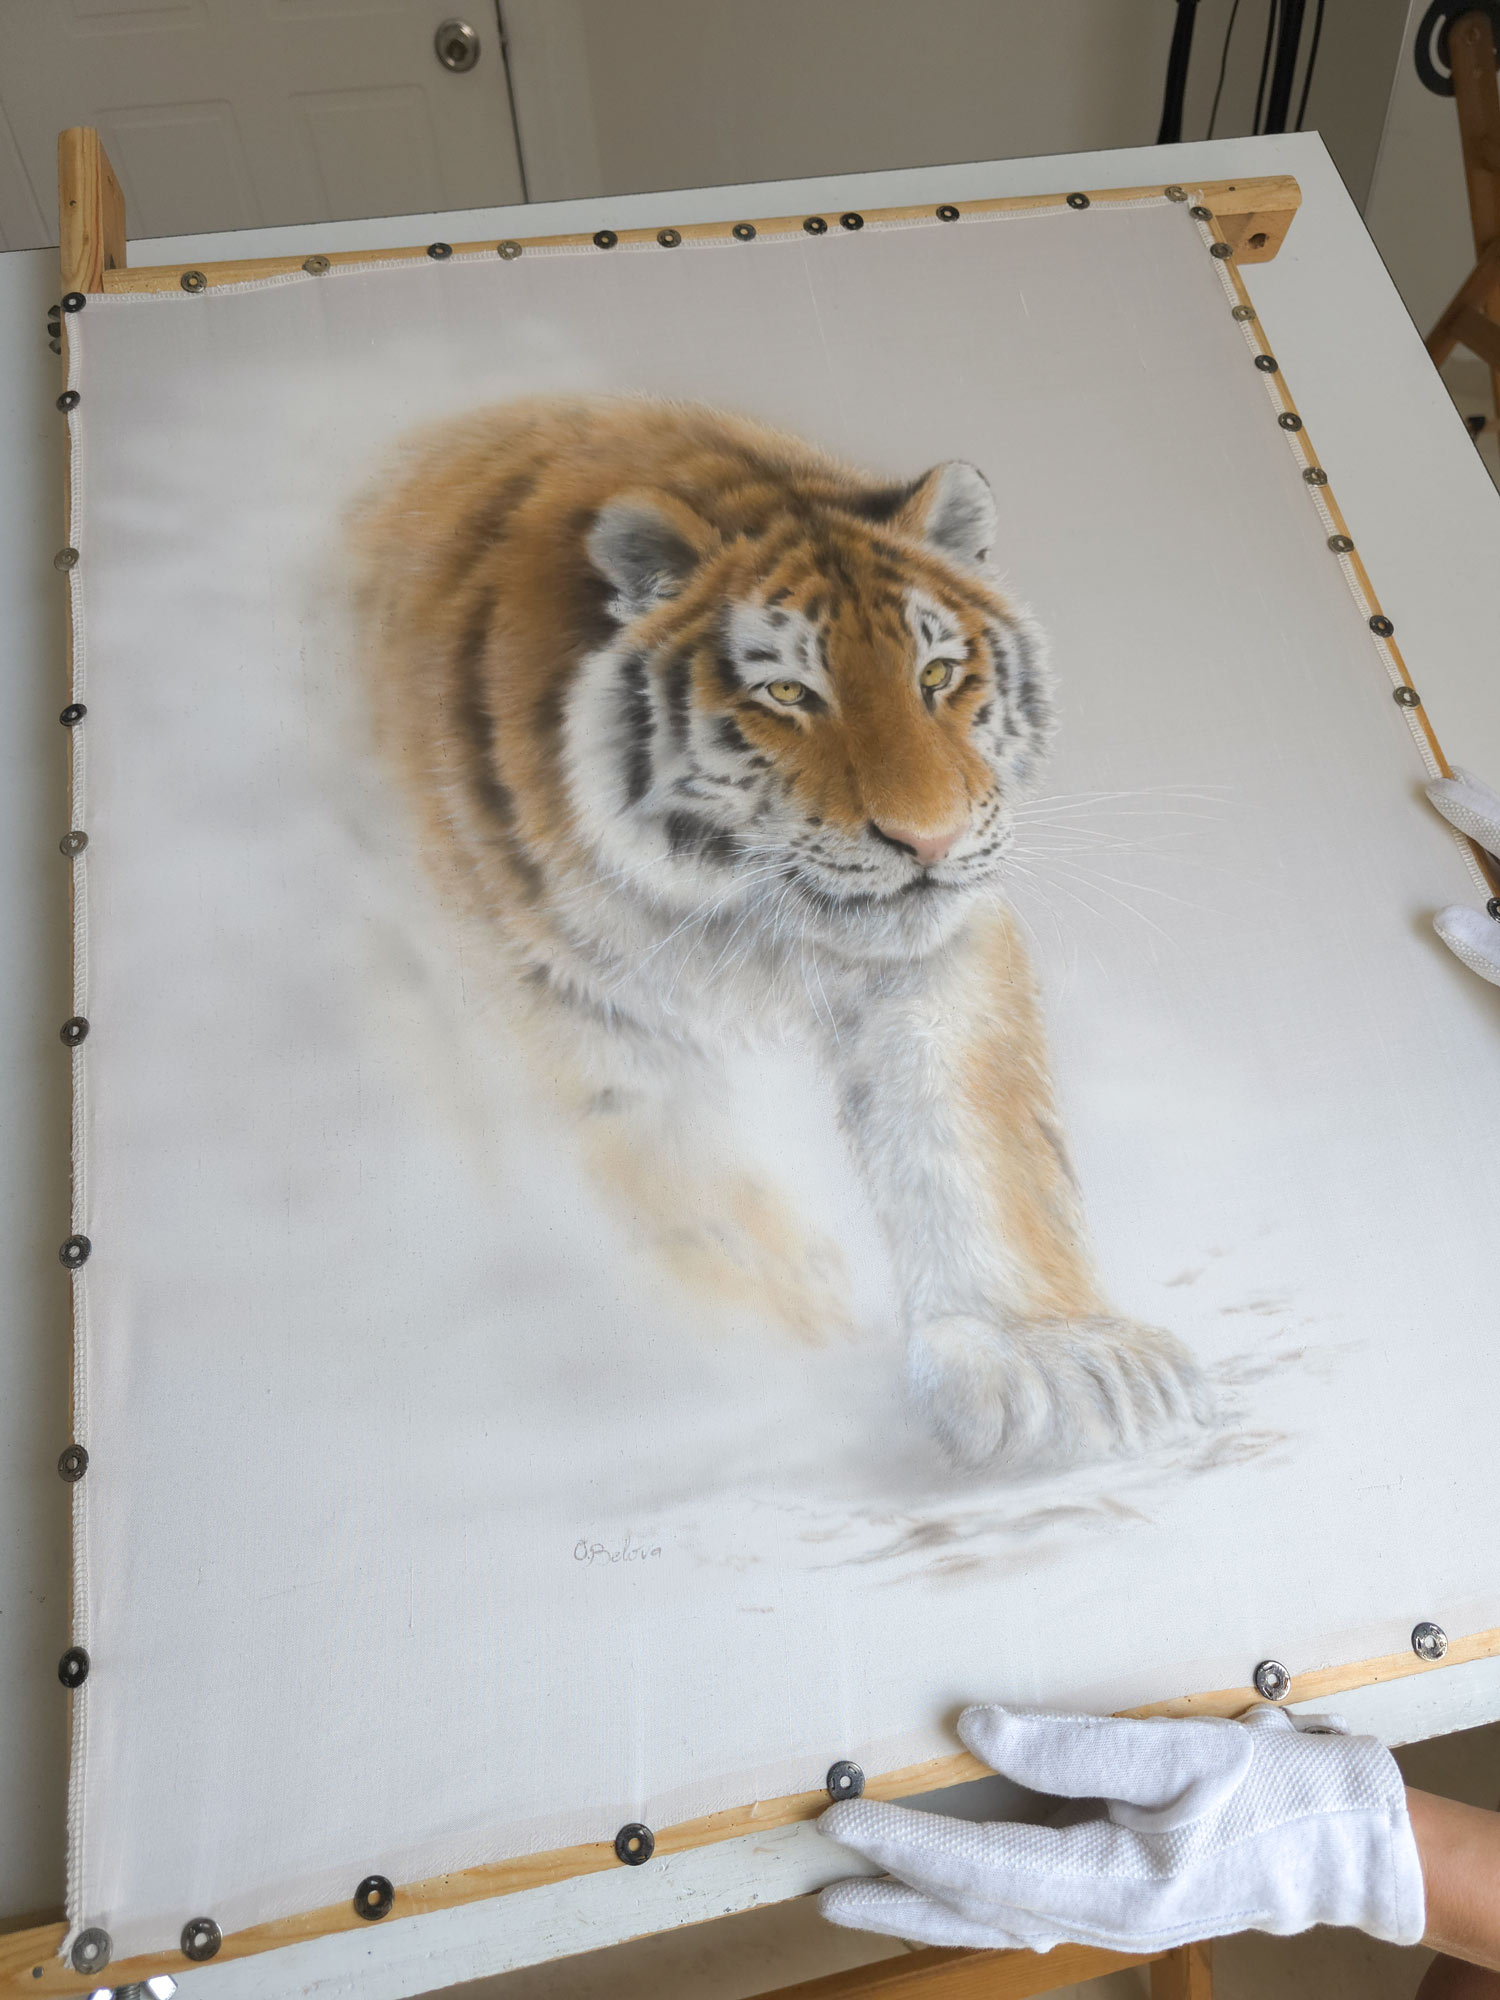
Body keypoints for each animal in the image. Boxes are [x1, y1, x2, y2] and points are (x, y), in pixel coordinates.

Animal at [349, 395, 1210, 1470]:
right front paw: (799, 1345)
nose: (928, 838)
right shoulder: (550, 999)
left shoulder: (933, 962)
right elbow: (684, 1195)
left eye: (938, 673)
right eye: (789, 694)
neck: (733, 915)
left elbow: (976, 1135)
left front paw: (1052, 1355)